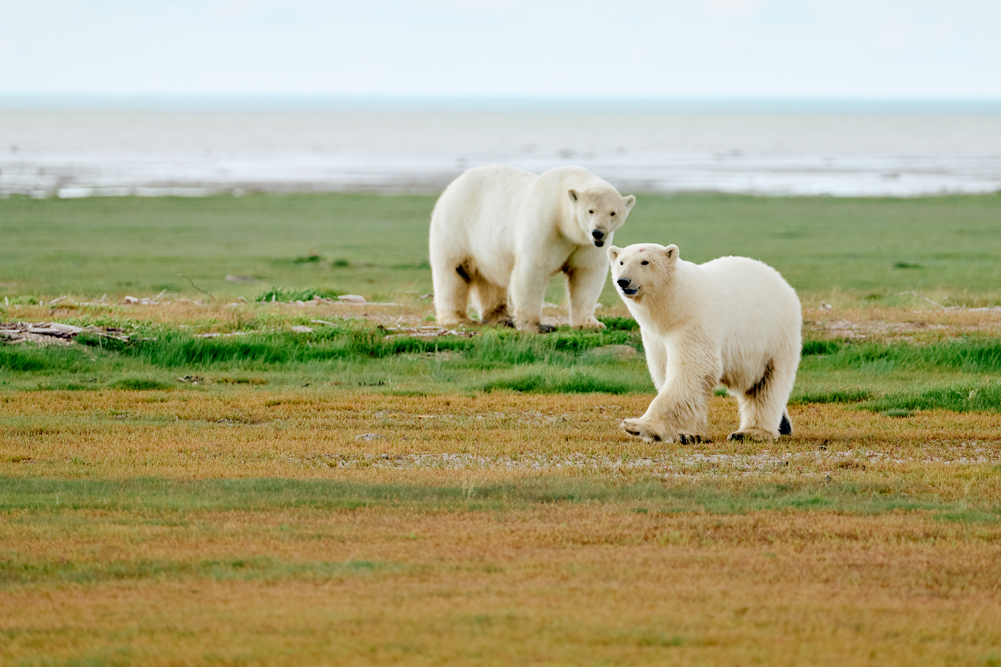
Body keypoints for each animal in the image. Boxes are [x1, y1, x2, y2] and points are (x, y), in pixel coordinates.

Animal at [429, 165, 636, 333]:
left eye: (613, 213)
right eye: (590, 210)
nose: (598, 232)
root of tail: (453, 184)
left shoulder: (585, 244)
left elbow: (586, 274)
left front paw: (590, 323)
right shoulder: (546, 224)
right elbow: (532, 270)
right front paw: (536, 325)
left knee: (490, 280)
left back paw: (500, 318)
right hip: (456, 228)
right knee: (453, 273)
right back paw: (458, 319)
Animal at [608, 242, 802, 443]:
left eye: (645, 261)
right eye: (621, 262)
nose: (623, 281)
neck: (673, 305)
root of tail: (781, 280)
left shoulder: (694, 323)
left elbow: (691, 370)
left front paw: (637, 425)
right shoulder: (655, 337)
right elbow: (664, 371)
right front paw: (688, 434)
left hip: (774, 338)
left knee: (767, 386)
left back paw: (750, 432)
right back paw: (783, 425)